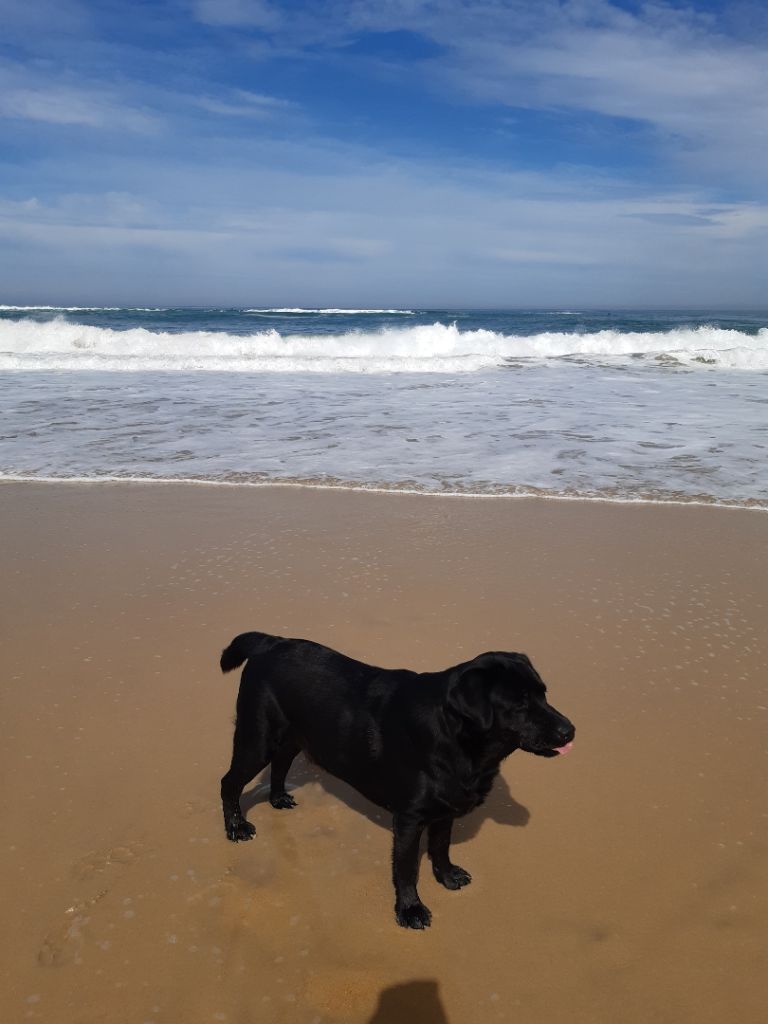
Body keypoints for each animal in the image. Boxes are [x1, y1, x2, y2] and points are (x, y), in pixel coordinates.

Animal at [219, 626, 573, 933]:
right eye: (520, 703)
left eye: (544, 694)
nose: (570, 730)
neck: (457, 738)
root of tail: (271, 642)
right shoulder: (409, 819)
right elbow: (406, 870)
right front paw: (410, 910)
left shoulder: (444, 810)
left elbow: (441, 847)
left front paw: (447, 876)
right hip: (256, 739)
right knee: (229, 783)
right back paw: (236, 827)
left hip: (294, 736)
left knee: (280, 764)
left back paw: (278, 798)